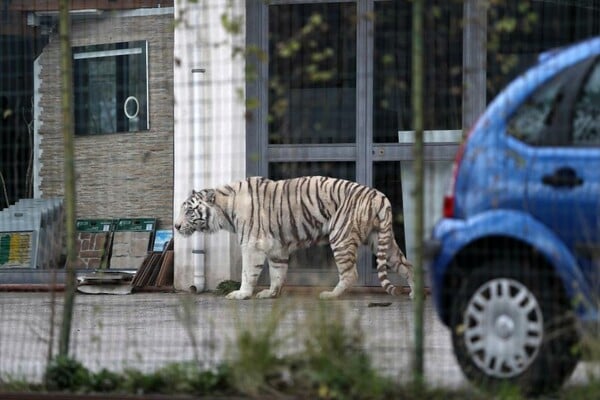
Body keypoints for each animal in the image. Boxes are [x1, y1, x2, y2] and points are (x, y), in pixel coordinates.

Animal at [175, 176, 412, 300]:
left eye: (189, 211)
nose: (176, 226)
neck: (225, 210)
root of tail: (379, 195)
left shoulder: (252, 245)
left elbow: (247, 273)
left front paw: (241, 294)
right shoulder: (277, 248)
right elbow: (278, 272)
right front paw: (271, 293)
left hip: (341, 237)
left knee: (351, 273)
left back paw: (331, 295)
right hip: (381, 241)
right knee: (407, 266)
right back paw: (414, 293)